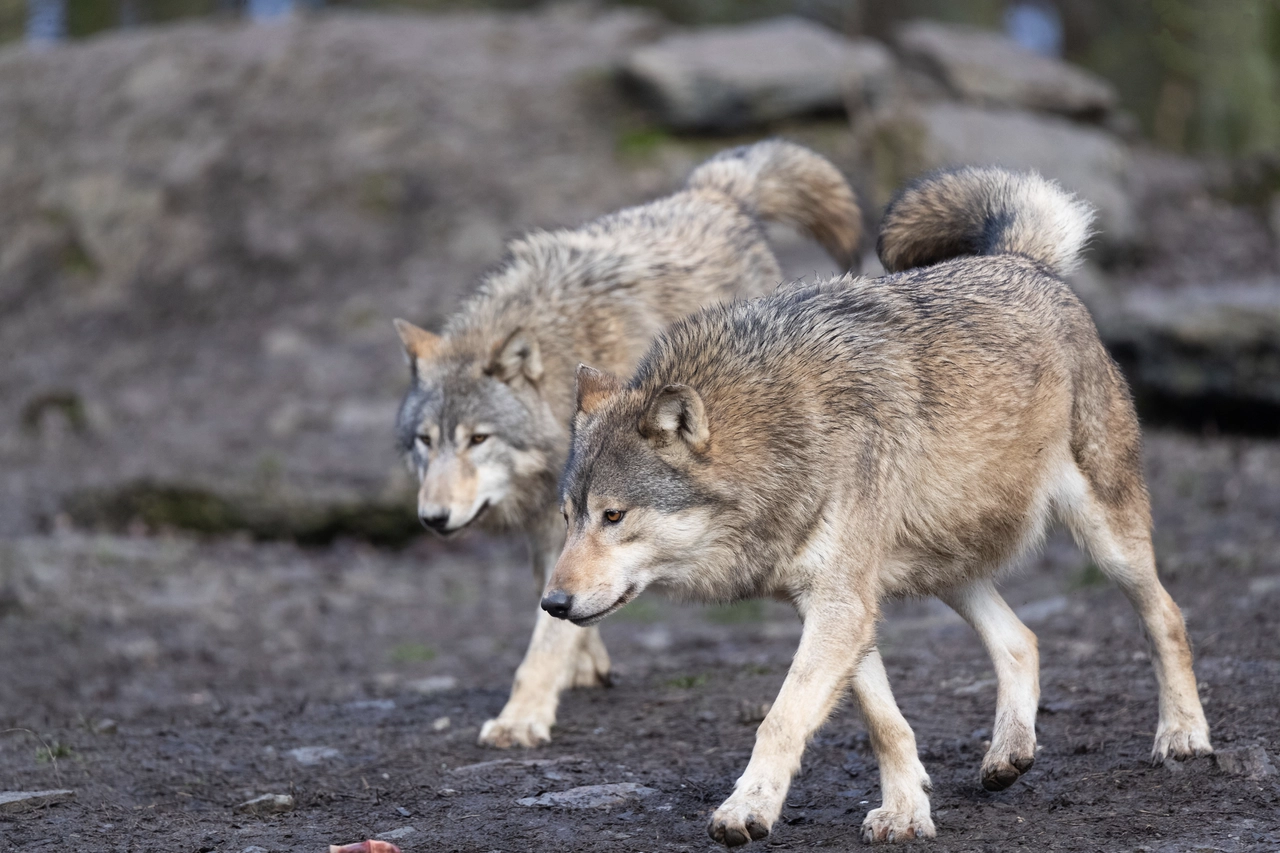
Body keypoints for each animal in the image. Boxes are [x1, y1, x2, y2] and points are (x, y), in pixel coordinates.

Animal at [394, 137, 865, 742]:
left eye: (478, 439)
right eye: (425, 442)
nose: (432, 519)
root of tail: (711, 192)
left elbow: (546, 640)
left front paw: (522, 716)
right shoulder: (559, 519)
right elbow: (561, 590)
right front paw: (581, 658)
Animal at [547, 166, 1208, 845]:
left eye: (614, 516)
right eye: (568, 519)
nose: (553, 604)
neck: (784, 434)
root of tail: (1019, 259)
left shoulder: (841, 605)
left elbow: (779, 718)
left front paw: (747, 809)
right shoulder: (837, 605)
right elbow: (883, 723)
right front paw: (906, 812)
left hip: (1106, 537)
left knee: (1165, 614)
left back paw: (1183, 735)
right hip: (946, 568)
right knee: (1021, 640)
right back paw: (1009, 753)